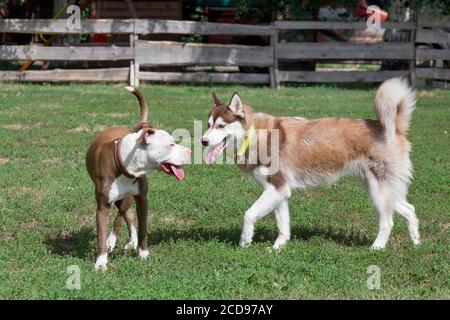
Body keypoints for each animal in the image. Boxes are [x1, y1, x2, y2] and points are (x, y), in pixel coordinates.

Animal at [85, 87, 190, 270]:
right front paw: (101, 262)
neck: (124, 163)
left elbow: (142, 228)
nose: (190, 152)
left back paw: (128, 241)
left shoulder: (142, 199)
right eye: (170, 144)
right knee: (123, 214)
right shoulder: (103, 206)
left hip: (127, 197)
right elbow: (102, 234)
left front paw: (143, 253)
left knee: (124, 214)